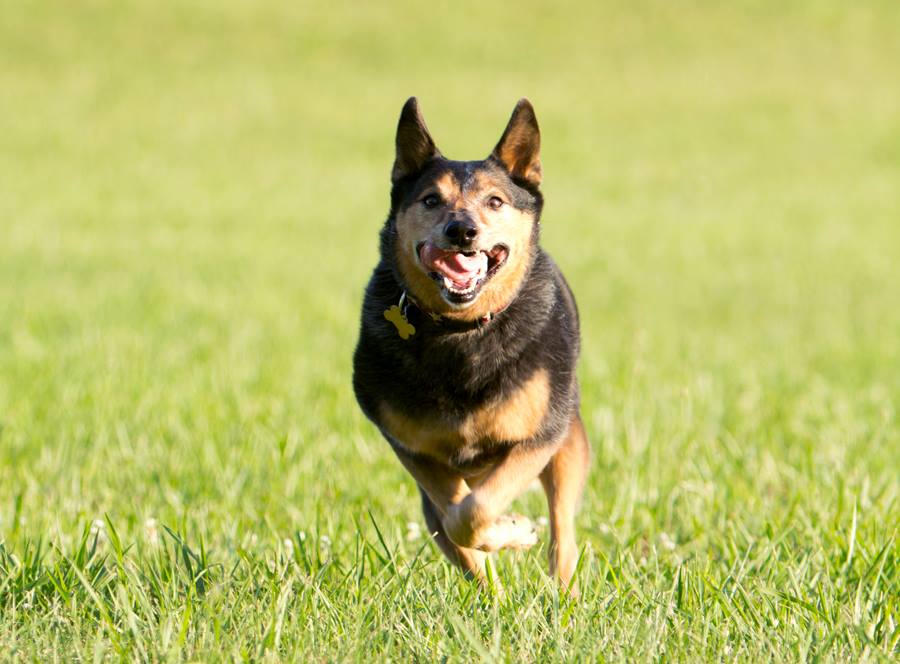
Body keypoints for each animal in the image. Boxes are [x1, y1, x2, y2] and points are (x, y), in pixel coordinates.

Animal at [352, 98, 592, 592]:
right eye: (430, 199)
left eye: (495, 201)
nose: (461, 230)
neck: (461, 330)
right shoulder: (414, 450)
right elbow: (459, 518)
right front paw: (510, 533)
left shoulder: (539, 437)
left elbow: (477, 508)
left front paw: (517, 530)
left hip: (568, 439)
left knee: (562, 531)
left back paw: (562, 591)